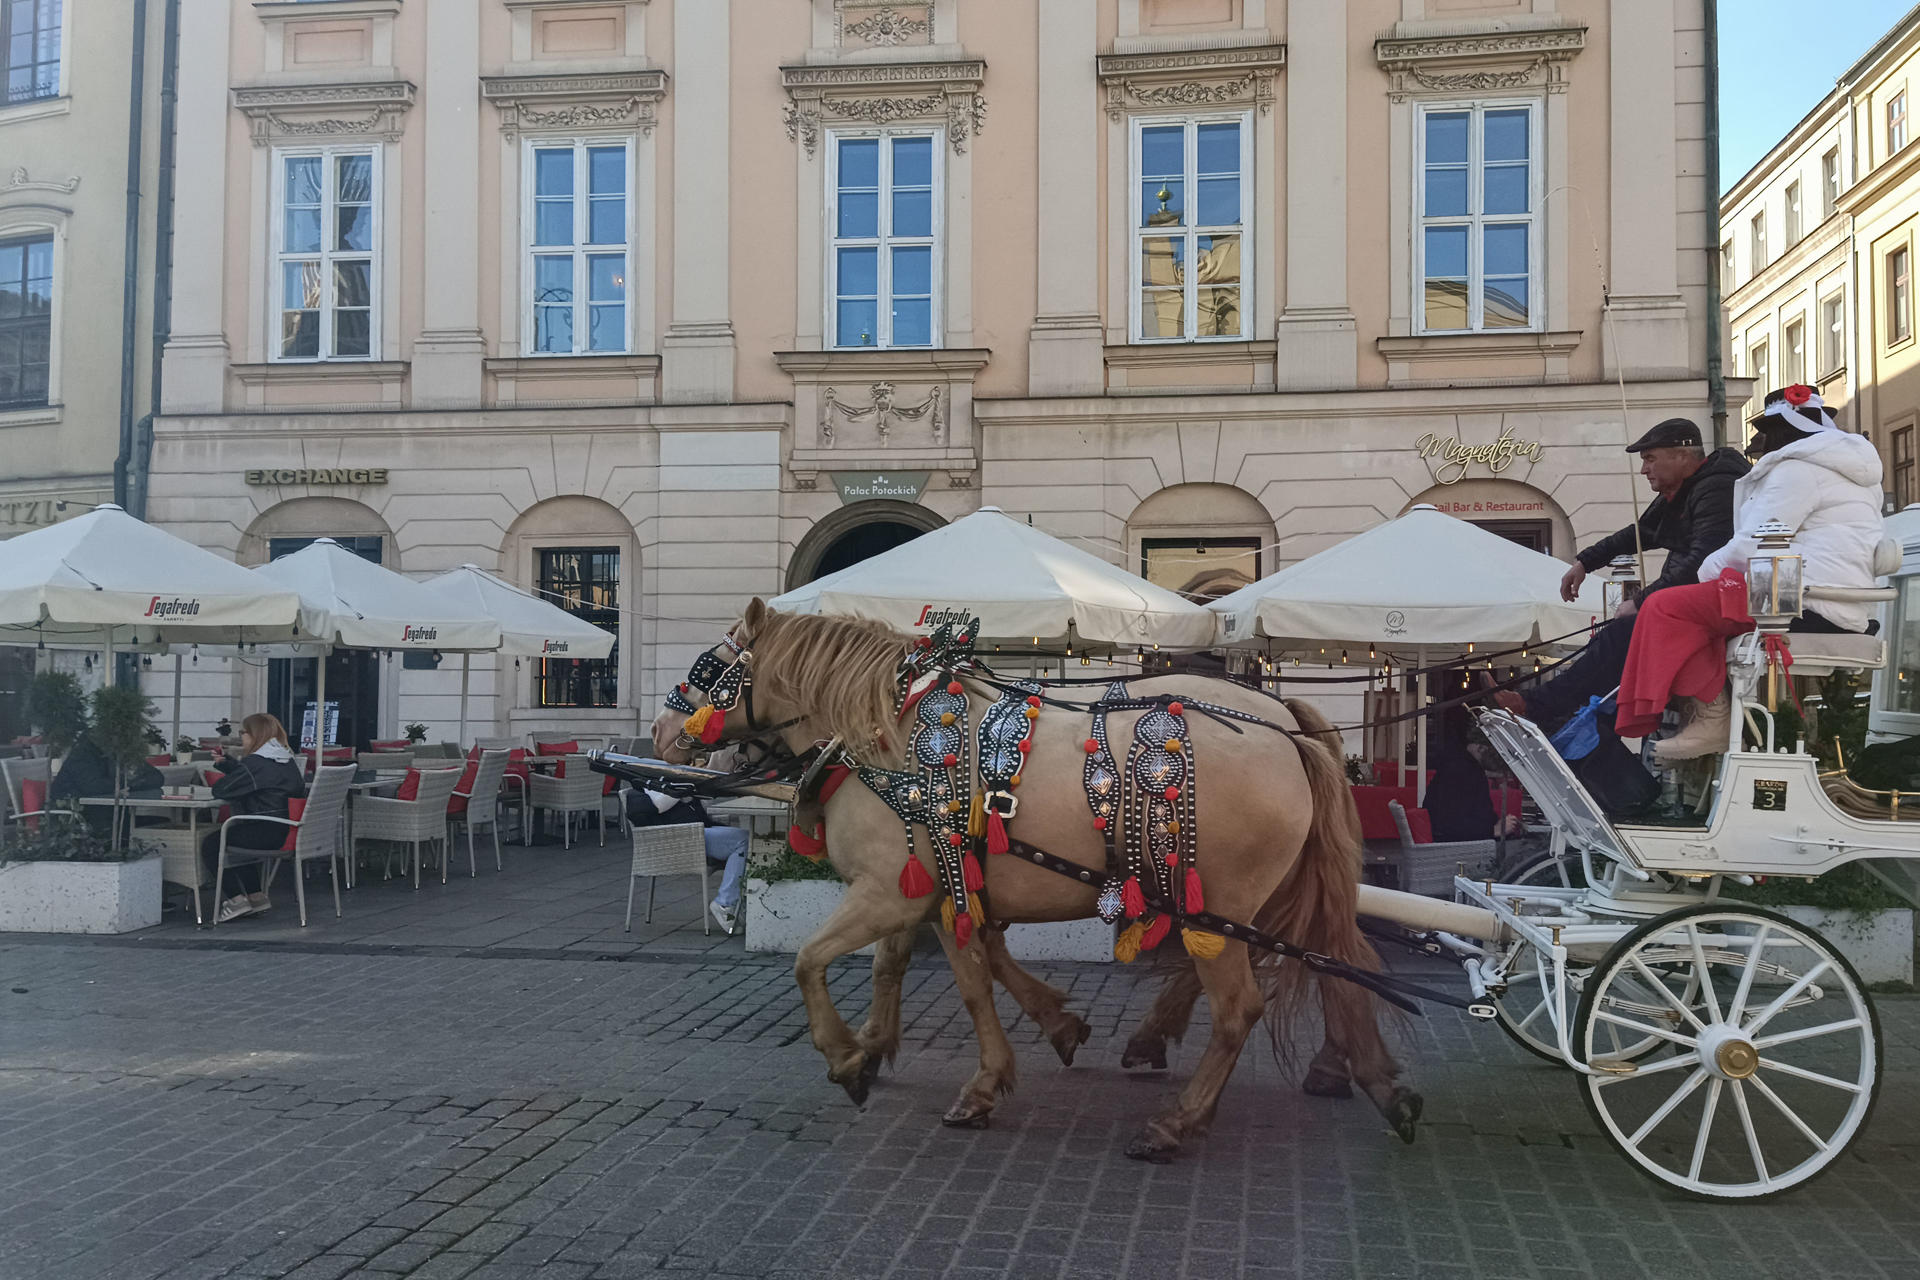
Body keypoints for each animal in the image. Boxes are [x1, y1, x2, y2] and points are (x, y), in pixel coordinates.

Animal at [652, 602, 1420, 1159]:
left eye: (710, 664)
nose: (660, 734)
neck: (888, 736)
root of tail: (1284, 719)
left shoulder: (893, 890)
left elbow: (824, 963)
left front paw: (857, 1059)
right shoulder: (934, 888)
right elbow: (932, 965)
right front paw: (898, 1045)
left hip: (1221, 902)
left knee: (1242, 1007)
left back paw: (1178, 1123)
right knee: (1333, 960)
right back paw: (1371, 1078)